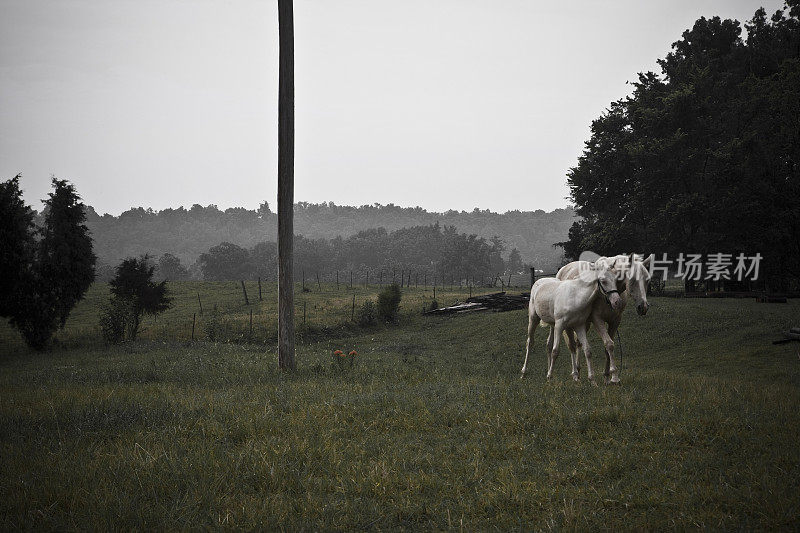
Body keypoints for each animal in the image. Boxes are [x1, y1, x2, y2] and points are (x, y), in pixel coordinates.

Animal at [552, 254, 652, 382]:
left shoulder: (615, 321)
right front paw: (615, 376)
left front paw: (608, 376)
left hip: (584, 323)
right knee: (572, 346)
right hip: (569, 325)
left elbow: (608, 347)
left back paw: (579, 370)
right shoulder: (597, 320)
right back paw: (575, 375)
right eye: (633, 280)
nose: (643, 307)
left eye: (647, 280)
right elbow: (609, 344)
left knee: (579, 343)